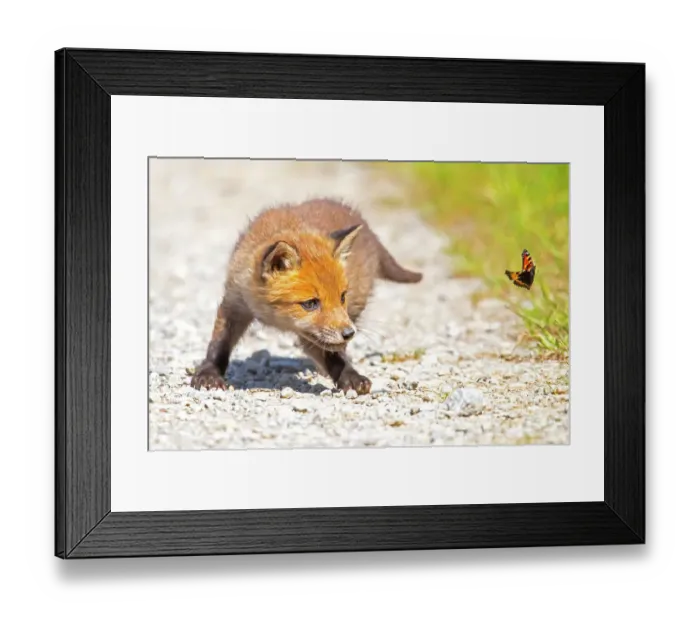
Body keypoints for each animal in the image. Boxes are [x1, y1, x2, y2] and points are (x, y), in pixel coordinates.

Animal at [191, 198, 423, 395]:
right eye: (311, 303)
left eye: (342, 297)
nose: (349, 333)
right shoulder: (235, 302)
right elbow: (219, 344)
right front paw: (209, 374)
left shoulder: (315, 334)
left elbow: (334, 356)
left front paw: (350, 376)